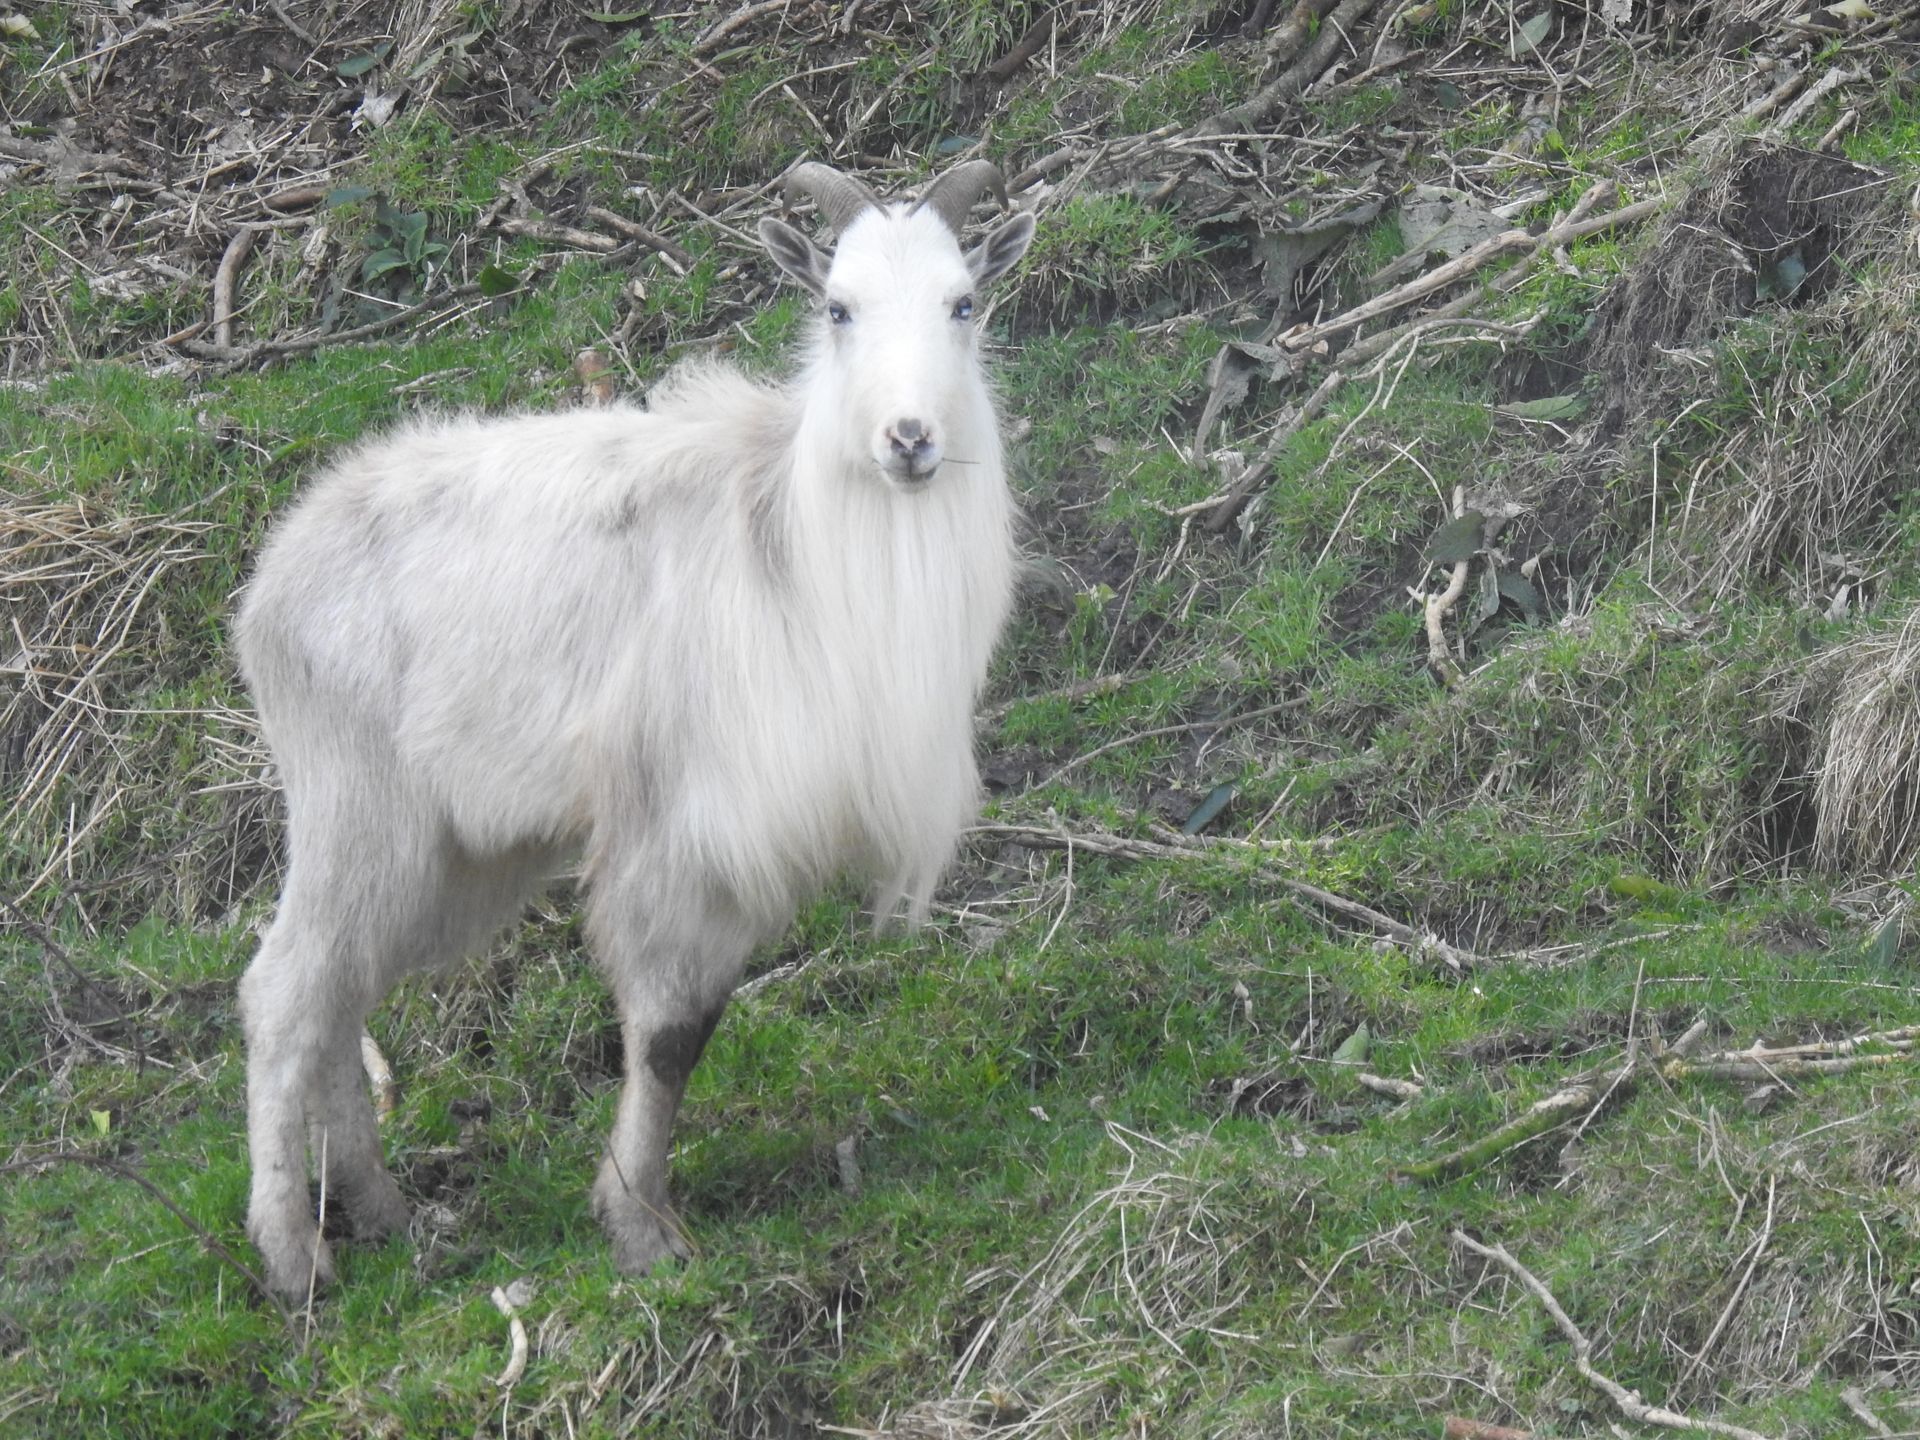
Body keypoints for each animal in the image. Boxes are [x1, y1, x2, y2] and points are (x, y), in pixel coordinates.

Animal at [234, 160, 1036, 1299]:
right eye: (839, 307)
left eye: (963, 303)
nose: (911, 440)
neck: (795, 546)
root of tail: (272, 578)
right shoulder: (677, 827)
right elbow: (667, 1036)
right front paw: (641, 1229)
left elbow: (695, 1028)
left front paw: (639, 1210)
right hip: (356, 808)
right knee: (286, 996)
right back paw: (294, 1257)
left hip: (449, 848)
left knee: (342, 998)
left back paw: (385, 1216)